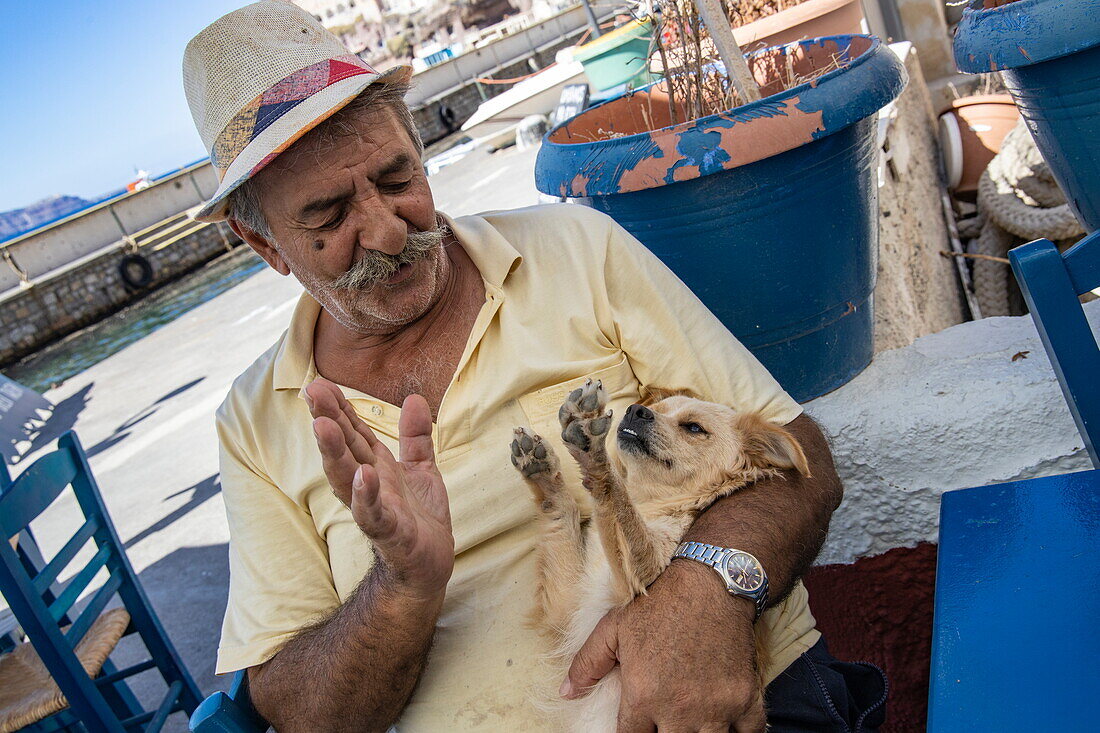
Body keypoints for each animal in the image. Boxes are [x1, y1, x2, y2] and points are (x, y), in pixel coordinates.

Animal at [506, 378, 809, 726]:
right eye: (657, 409)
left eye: (693, 427)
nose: (636, 410)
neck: (653, 504)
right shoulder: (568, 605)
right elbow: (562, 512)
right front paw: (544, 473)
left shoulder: (638, 586)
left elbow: (616, 500)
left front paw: (593, 451)